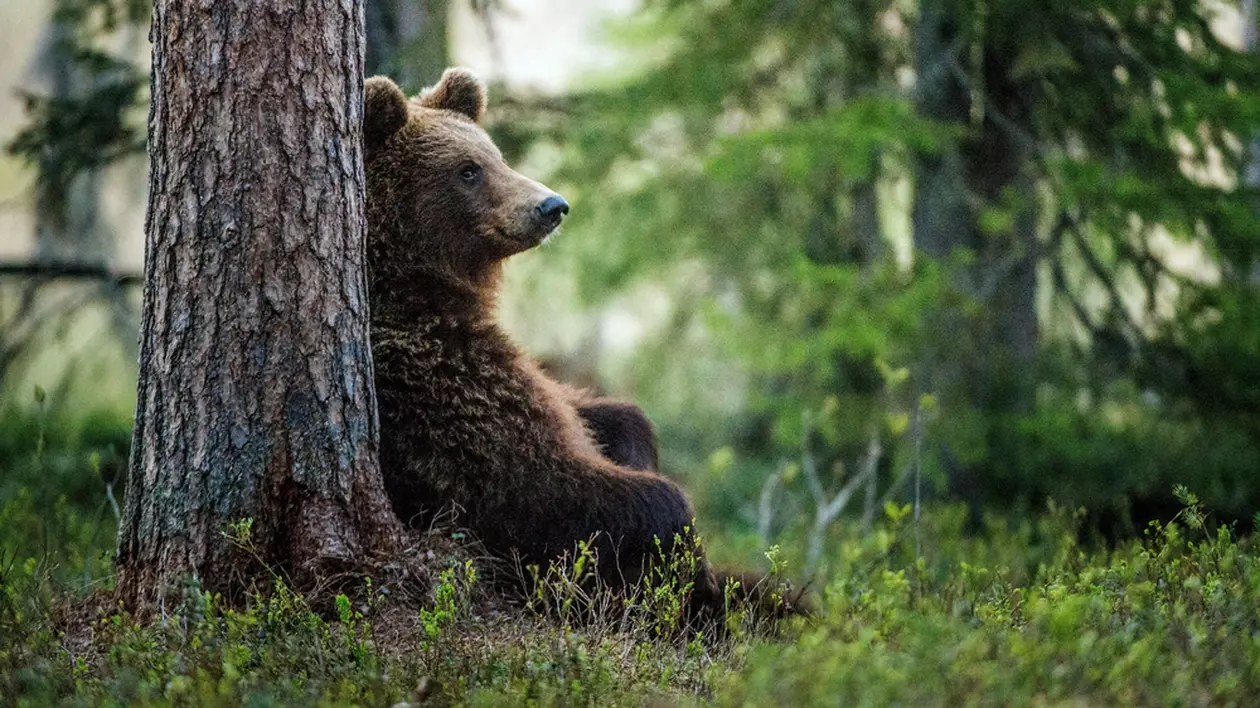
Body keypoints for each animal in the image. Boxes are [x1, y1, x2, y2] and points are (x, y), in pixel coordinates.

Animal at [360, 68, 725, 612]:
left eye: (496, 156)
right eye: (467, 170)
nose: (551, 205)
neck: (418, 287)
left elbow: (604, 413)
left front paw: (632, 438)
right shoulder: (440, 390)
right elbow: (542, 486)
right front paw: (695, 583)